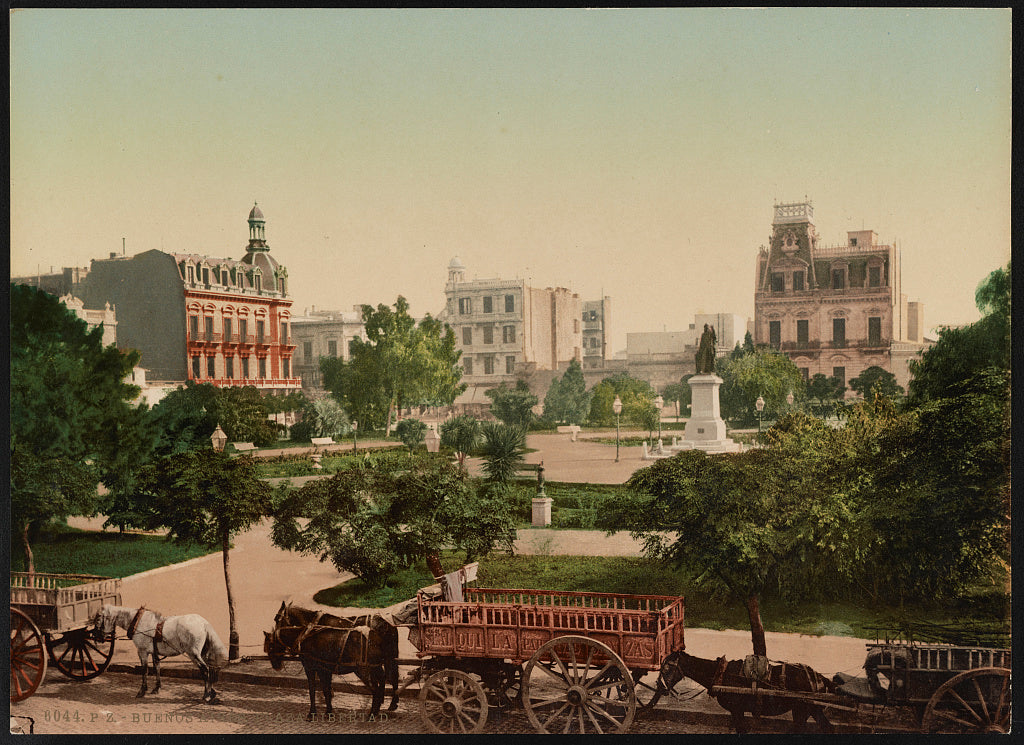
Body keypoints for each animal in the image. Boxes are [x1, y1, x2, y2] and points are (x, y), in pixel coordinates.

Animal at [94, 601, 228, 699]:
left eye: (98, 619)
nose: (97, 637)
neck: (139, 622)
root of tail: (204, 623)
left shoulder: (142, 652)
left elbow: (145, 670)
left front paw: (142, 691)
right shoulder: (155, 652)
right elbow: (157, 668)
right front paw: (156, 688)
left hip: (193, 654)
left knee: (205, 670)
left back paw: (206, 695)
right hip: (203, 653)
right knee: (210, 669)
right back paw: (211, 692)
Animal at [659, 650, 835, 732]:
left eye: (667, 667)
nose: (660, 687)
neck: (721, 673)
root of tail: (819, 677)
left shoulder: (737, 710)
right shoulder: (737, 711)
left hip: (802, 710)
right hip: (812, 709)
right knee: (827, 728)